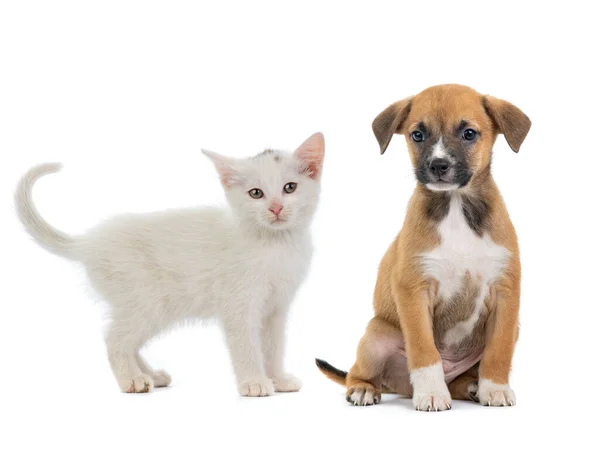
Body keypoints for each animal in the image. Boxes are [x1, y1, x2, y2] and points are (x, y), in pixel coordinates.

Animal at [15, 133, 324, 396]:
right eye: (256, 193)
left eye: (290, 188)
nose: (276, 208)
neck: (276, 244)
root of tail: (88, 243)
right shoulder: (239, 305)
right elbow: (246, 346)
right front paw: (254, 383)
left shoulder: (276, 308)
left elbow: (274, 347)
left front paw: (278, 379)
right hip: (146, 302)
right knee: (115, 339)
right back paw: (132, 380)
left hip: (152, 308)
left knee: (127, 340)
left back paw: (150, 375)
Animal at [316, 83, 532, 412]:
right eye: (417, 135)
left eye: (469, 133)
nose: (438, 165)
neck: (456, 206)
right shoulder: (414, 290)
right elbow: (424, 350)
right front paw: (430, 392)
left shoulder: (505, 293)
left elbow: (499, 349)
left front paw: (495, 388)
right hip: (376, 336)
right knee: (356, 372)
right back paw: (365, 390)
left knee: (461, 379)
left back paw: (472, 386)